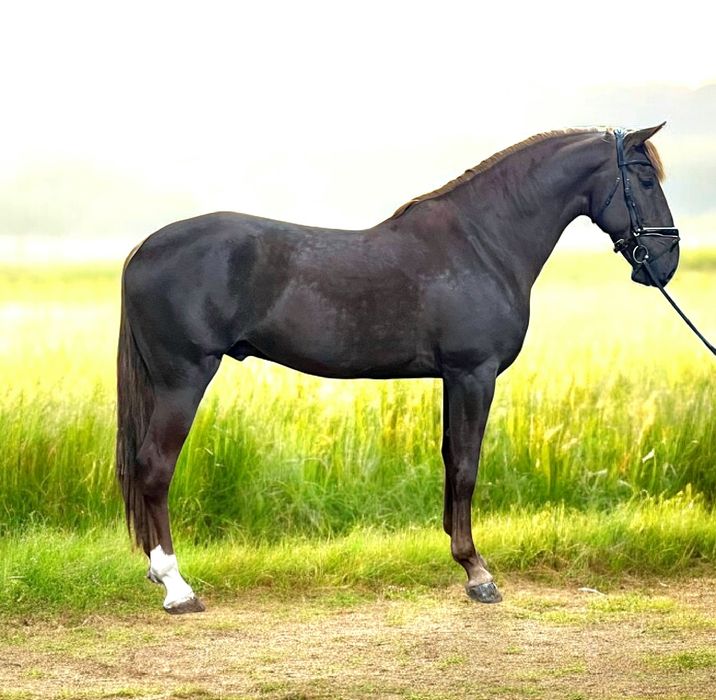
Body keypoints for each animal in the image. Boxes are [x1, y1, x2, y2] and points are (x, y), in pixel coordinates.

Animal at [116, 124, 680, 613]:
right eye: (645, 178)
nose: (666, 260)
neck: (483, 243)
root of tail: (143, 247)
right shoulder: (474, 374)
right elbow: (468, 467)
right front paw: (478, 574)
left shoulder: (454, 378)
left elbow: (451, 460)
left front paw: (463, 559)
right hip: (184, 379)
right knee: (155, 467)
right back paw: (177, 587)